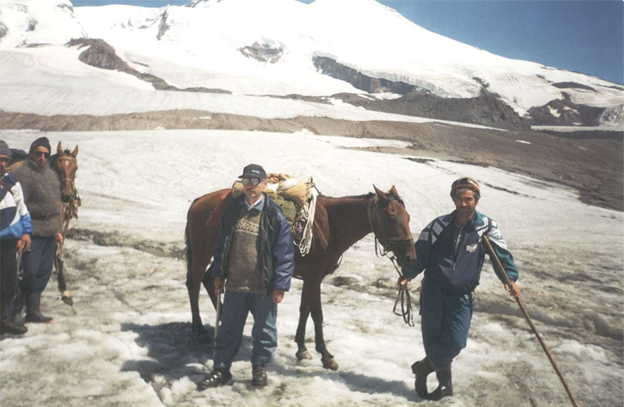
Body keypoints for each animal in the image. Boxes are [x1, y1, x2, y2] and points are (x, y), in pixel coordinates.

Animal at [185, 186, 414, 372]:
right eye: (392, 217)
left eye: (408, 217)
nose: (410, 257)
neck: (331, 225)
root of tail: (198, 201)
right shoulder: (314, 278)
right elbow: (317, 313)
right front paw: (326, 355)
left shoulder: (311, 278)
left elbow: (305, 309)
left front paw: (302, 348)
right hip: (203, 253)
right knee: (194, 283)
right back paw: (199, 330)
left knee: (208, 280)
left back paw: (224, 320)